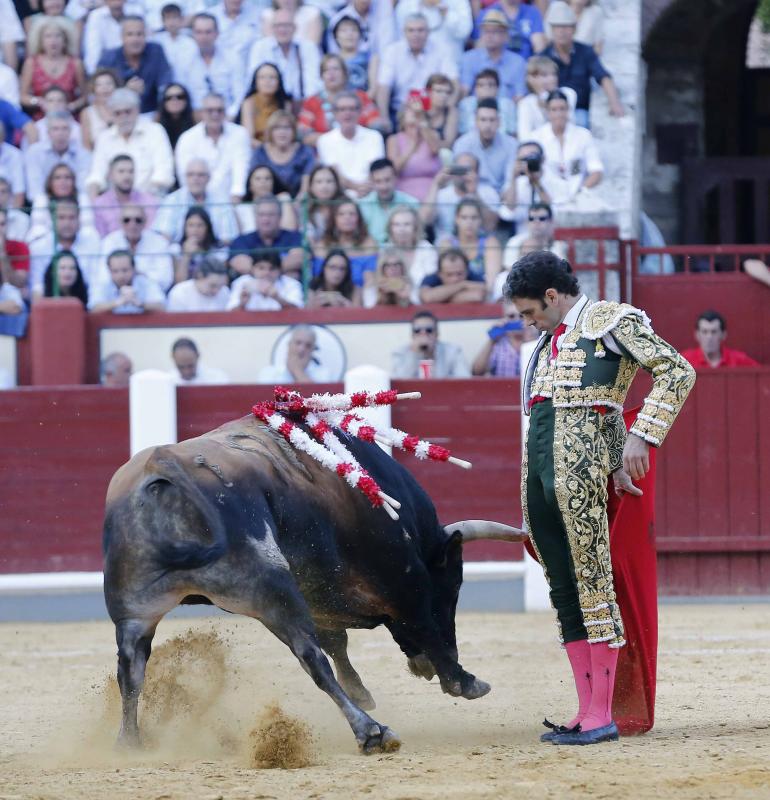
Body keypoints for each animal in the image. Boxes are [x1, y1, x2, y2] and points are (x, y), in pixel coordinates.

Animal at [103, 416, 520, 752]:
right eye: (453, 588)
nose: (424, 668)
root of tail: (164, 464)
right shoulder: (406, 580)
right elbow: (423, 626)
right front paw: (463, 681)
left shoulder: (320, 595)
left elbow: (338, 640)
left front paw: (361, 690)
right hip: (273, 589)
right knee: (311, 658)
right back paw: (371, 732)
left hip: (134, 613)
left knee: (131, 670)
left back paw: (129, 741)